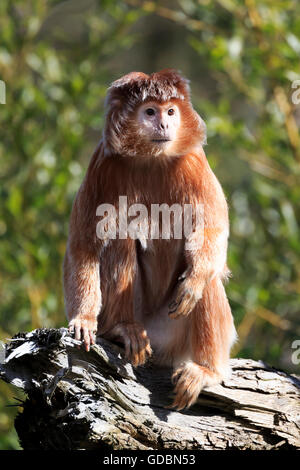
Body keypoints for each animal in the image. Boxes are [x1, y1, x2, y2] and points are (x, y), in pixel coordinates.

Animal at [63, 70, 237, 412]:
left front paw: (194, 281)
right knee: (119, 235)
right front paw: (83, 318)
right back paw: (123, 329)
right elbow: (83, 245)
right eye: (150, 112)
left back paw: (207, 370)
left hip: (175, 335)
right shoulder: (103, 163)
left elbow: (213, 231)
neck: (151, 157)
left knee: (206, 278)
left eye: (170, 111)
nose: (165, 125)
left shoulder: (194, 161)